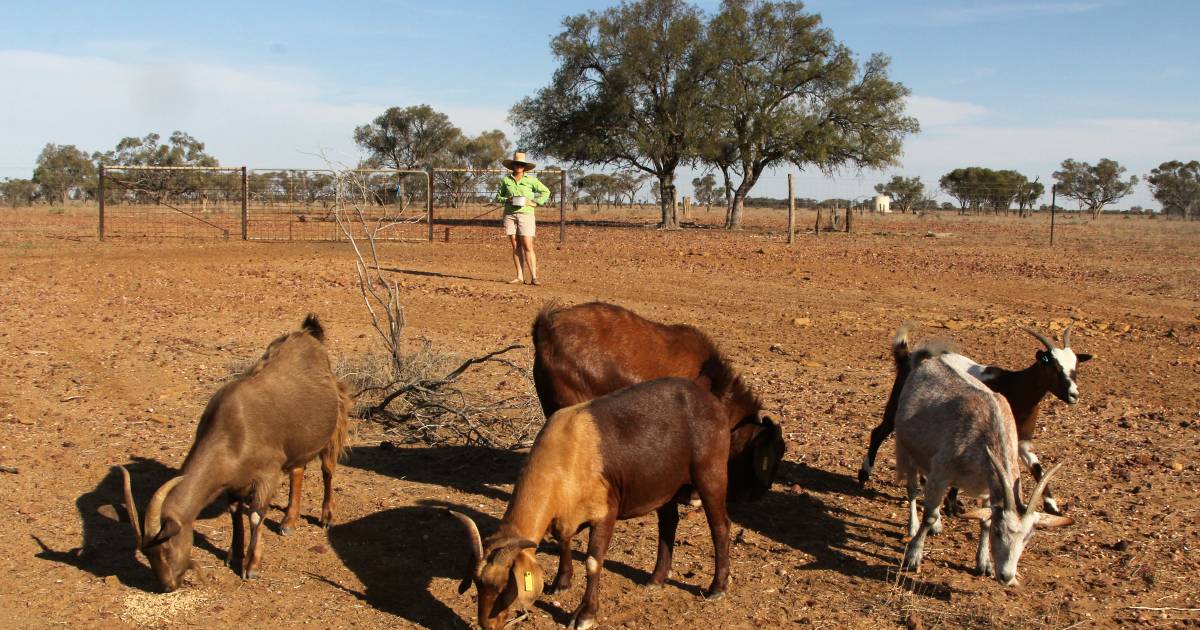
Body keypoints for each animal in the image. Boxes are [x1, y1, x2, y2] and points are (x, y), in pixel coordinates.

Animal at [115, 314, 350, 590]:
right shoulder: (234, 479)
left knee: (327, 470)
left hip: (334, 424)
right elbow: (235, 512)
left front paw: (251, 566)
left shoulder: (267, 473)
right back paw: (288, 522)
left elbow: (256, 516)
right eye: (147, 553)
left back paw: (326, 516)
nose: (168, 586)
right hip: (299, 440)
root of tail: (309, 335)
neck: (231, 432)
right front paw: (233, 554)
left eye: (166, 547)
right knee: (298, 470)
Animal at [448, 379, 734, 628]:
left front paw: (584, 615)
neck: (566, 451)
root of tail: (711, 402)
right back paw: (656, 578)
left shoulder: (605, 512)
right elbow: (563, 540)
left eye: (506, 586)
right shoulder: (565, 513)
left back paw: (717, 587)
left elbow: (593, 562)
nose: (488, 624)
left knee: (720, 526)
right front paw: (561, 583)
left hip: (710, 472)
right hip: (663, 483)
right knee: (668, 522)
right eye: (477, 584)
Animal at [864, 321, 1089, 513]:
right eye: (1054, 367)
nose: (1074, 395)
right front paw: (952, 505)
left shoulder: (1021, 441)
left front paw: (1052, 507)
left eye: (1075, 367)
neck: (1015, 387)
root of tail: (907, 357)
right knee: (878, 432)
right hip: (897, 408)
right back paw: (864, 474)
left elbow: (1037, 468)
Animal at [897, 340, 1075, 583]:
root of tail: (928, 361)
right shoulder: (941, 473)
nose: (1006, 576)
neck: (987, 434)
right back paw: (913, 526)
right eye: (1000, 532)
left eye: (1028, 536)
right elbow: (930, 515)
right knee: (914, 490)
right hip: (907, 449)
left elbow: (984, 521)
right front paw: (913, 556)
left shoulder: (987, 488)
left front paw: (984, 564)